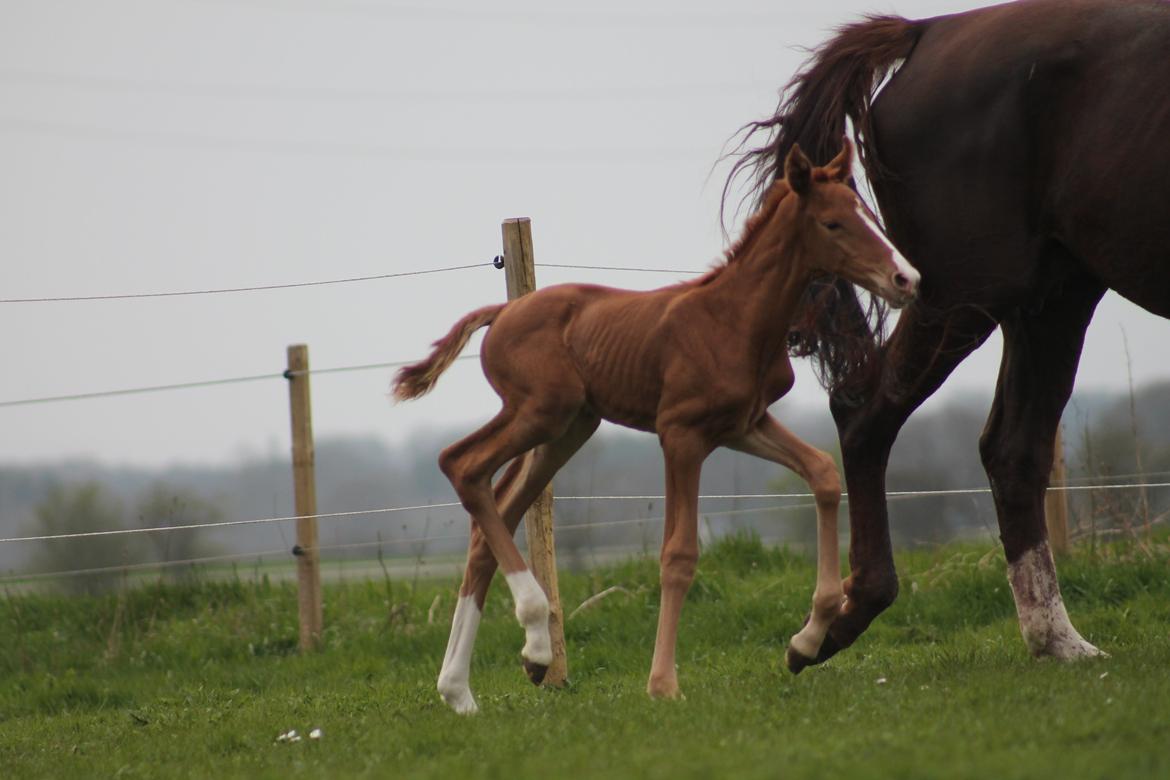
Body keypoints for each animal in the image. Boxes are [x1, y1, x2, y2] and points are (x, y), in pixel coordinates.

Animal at [397, 140, 917, 715]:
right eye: (832, 223)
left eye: (867, 213)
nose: (906, 280)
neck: (735, 319)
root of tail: (500, 313)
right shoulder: (681, 433)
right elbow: (679, 554)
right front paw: (663, 683)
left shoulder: (744, 424)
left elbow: (823, 472)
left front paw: (806, 640)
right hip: (540, 411)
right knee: (461, 464)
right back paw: (531, 641)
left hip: (567, 429)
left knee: (495, 514)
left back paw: (466, 687)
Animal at [730, 0, 1170, 673]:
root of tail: (930, 30)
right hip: (964, 293)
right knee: (864, 412)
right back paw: (837, 621)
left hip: (1051, 297)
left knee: (1012, 451)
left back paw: (1057, 639)